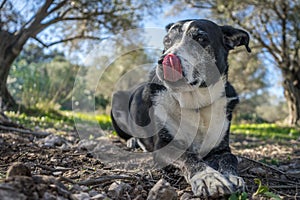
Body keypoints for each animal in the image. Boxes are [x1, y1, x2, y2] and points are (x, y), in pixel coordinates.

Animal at [110, 19, 251, 198]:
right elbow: (188, 156)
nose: (164, 60)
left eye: (200, 39)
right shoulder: (164, 146)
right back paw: (132, 140)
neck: (195, 104)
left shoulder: (222, 147)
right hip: (116, 102)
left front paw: (232, 176)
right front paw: (208, 177)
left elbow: (230, 158)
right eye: (167, 41)